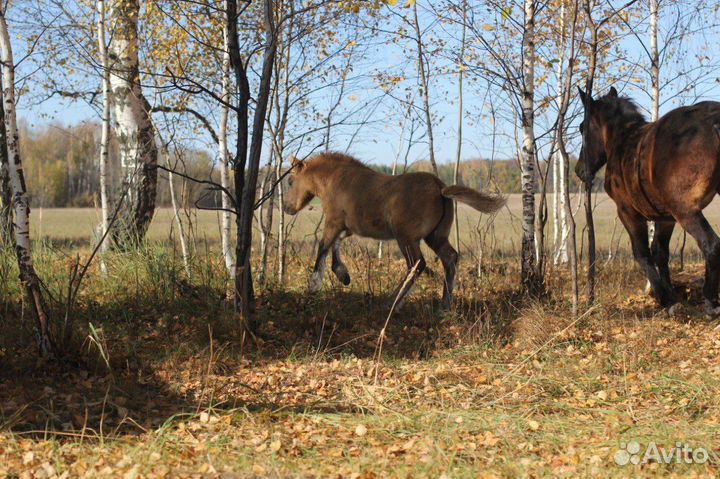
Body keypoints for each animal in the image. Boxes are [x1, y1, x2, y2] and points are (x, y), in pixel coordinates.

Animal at [282, 155, 506, 312]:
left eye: (291, 181)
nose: (287, 208)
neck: (338, 180)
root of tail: (440, 187)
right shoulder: (350, 227)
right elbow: (336, 244)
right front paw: (343, 274)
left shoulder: (334, 222)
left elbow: (323, 246)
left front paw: (314, 285)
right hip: (435, 236)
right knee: (450, 258)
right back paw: (444, 305)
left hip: (406, 238)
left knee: (417, 264)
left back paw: (392, 303)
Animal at [576, 86, 720, 314]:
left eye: (582, 128)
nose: (579, 170)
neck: (624, 141)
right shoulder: (666, 217)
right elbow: (660, 253)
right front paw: (672, 296)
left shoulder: (628, 212)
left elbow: (642, 253)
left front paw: (665, 299)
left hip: (686, 212)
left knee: (711, 245)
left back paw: (711, 302)